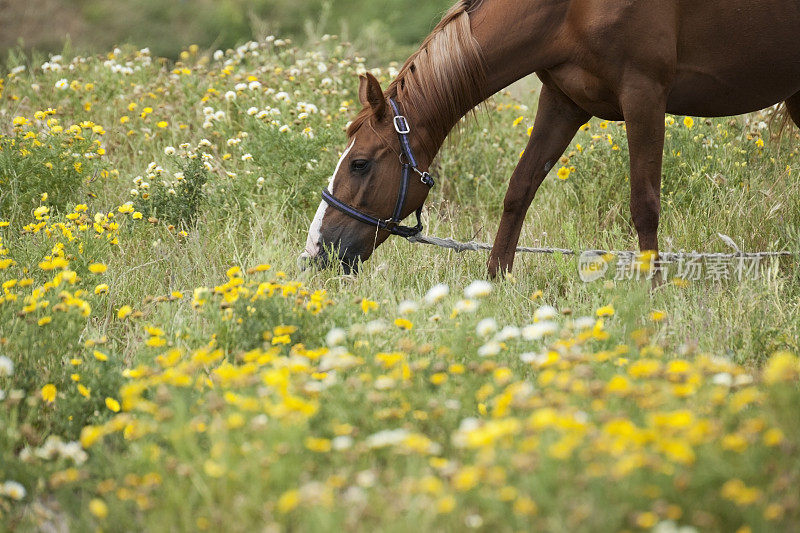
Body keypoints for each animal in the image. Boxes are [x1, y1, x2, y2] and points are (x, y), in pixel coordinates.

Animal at [300, 0, 800, 274]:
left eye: (360, 163)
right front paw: (494, 282)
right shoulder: (561, 102)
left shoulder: (644, 96)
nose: (316, 250)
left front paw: (653, 297)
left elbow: (644, 205)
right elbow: (518, 190)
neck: (572, 10)